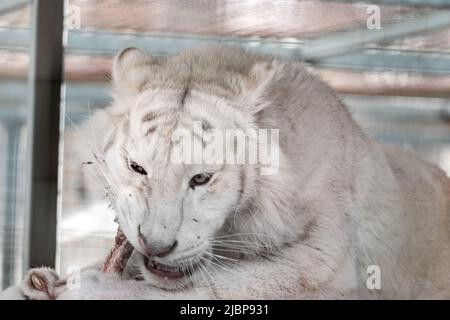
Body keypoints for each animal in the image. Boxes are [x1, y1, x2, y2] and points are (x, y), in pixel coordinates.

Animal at [0, 46, 450, 298]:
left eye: (201, 178)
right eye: (137, 167)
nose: (155, 246)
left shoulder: (322, 268)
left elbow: (204, 288)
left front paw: (93, 288)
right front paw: (35, 283)